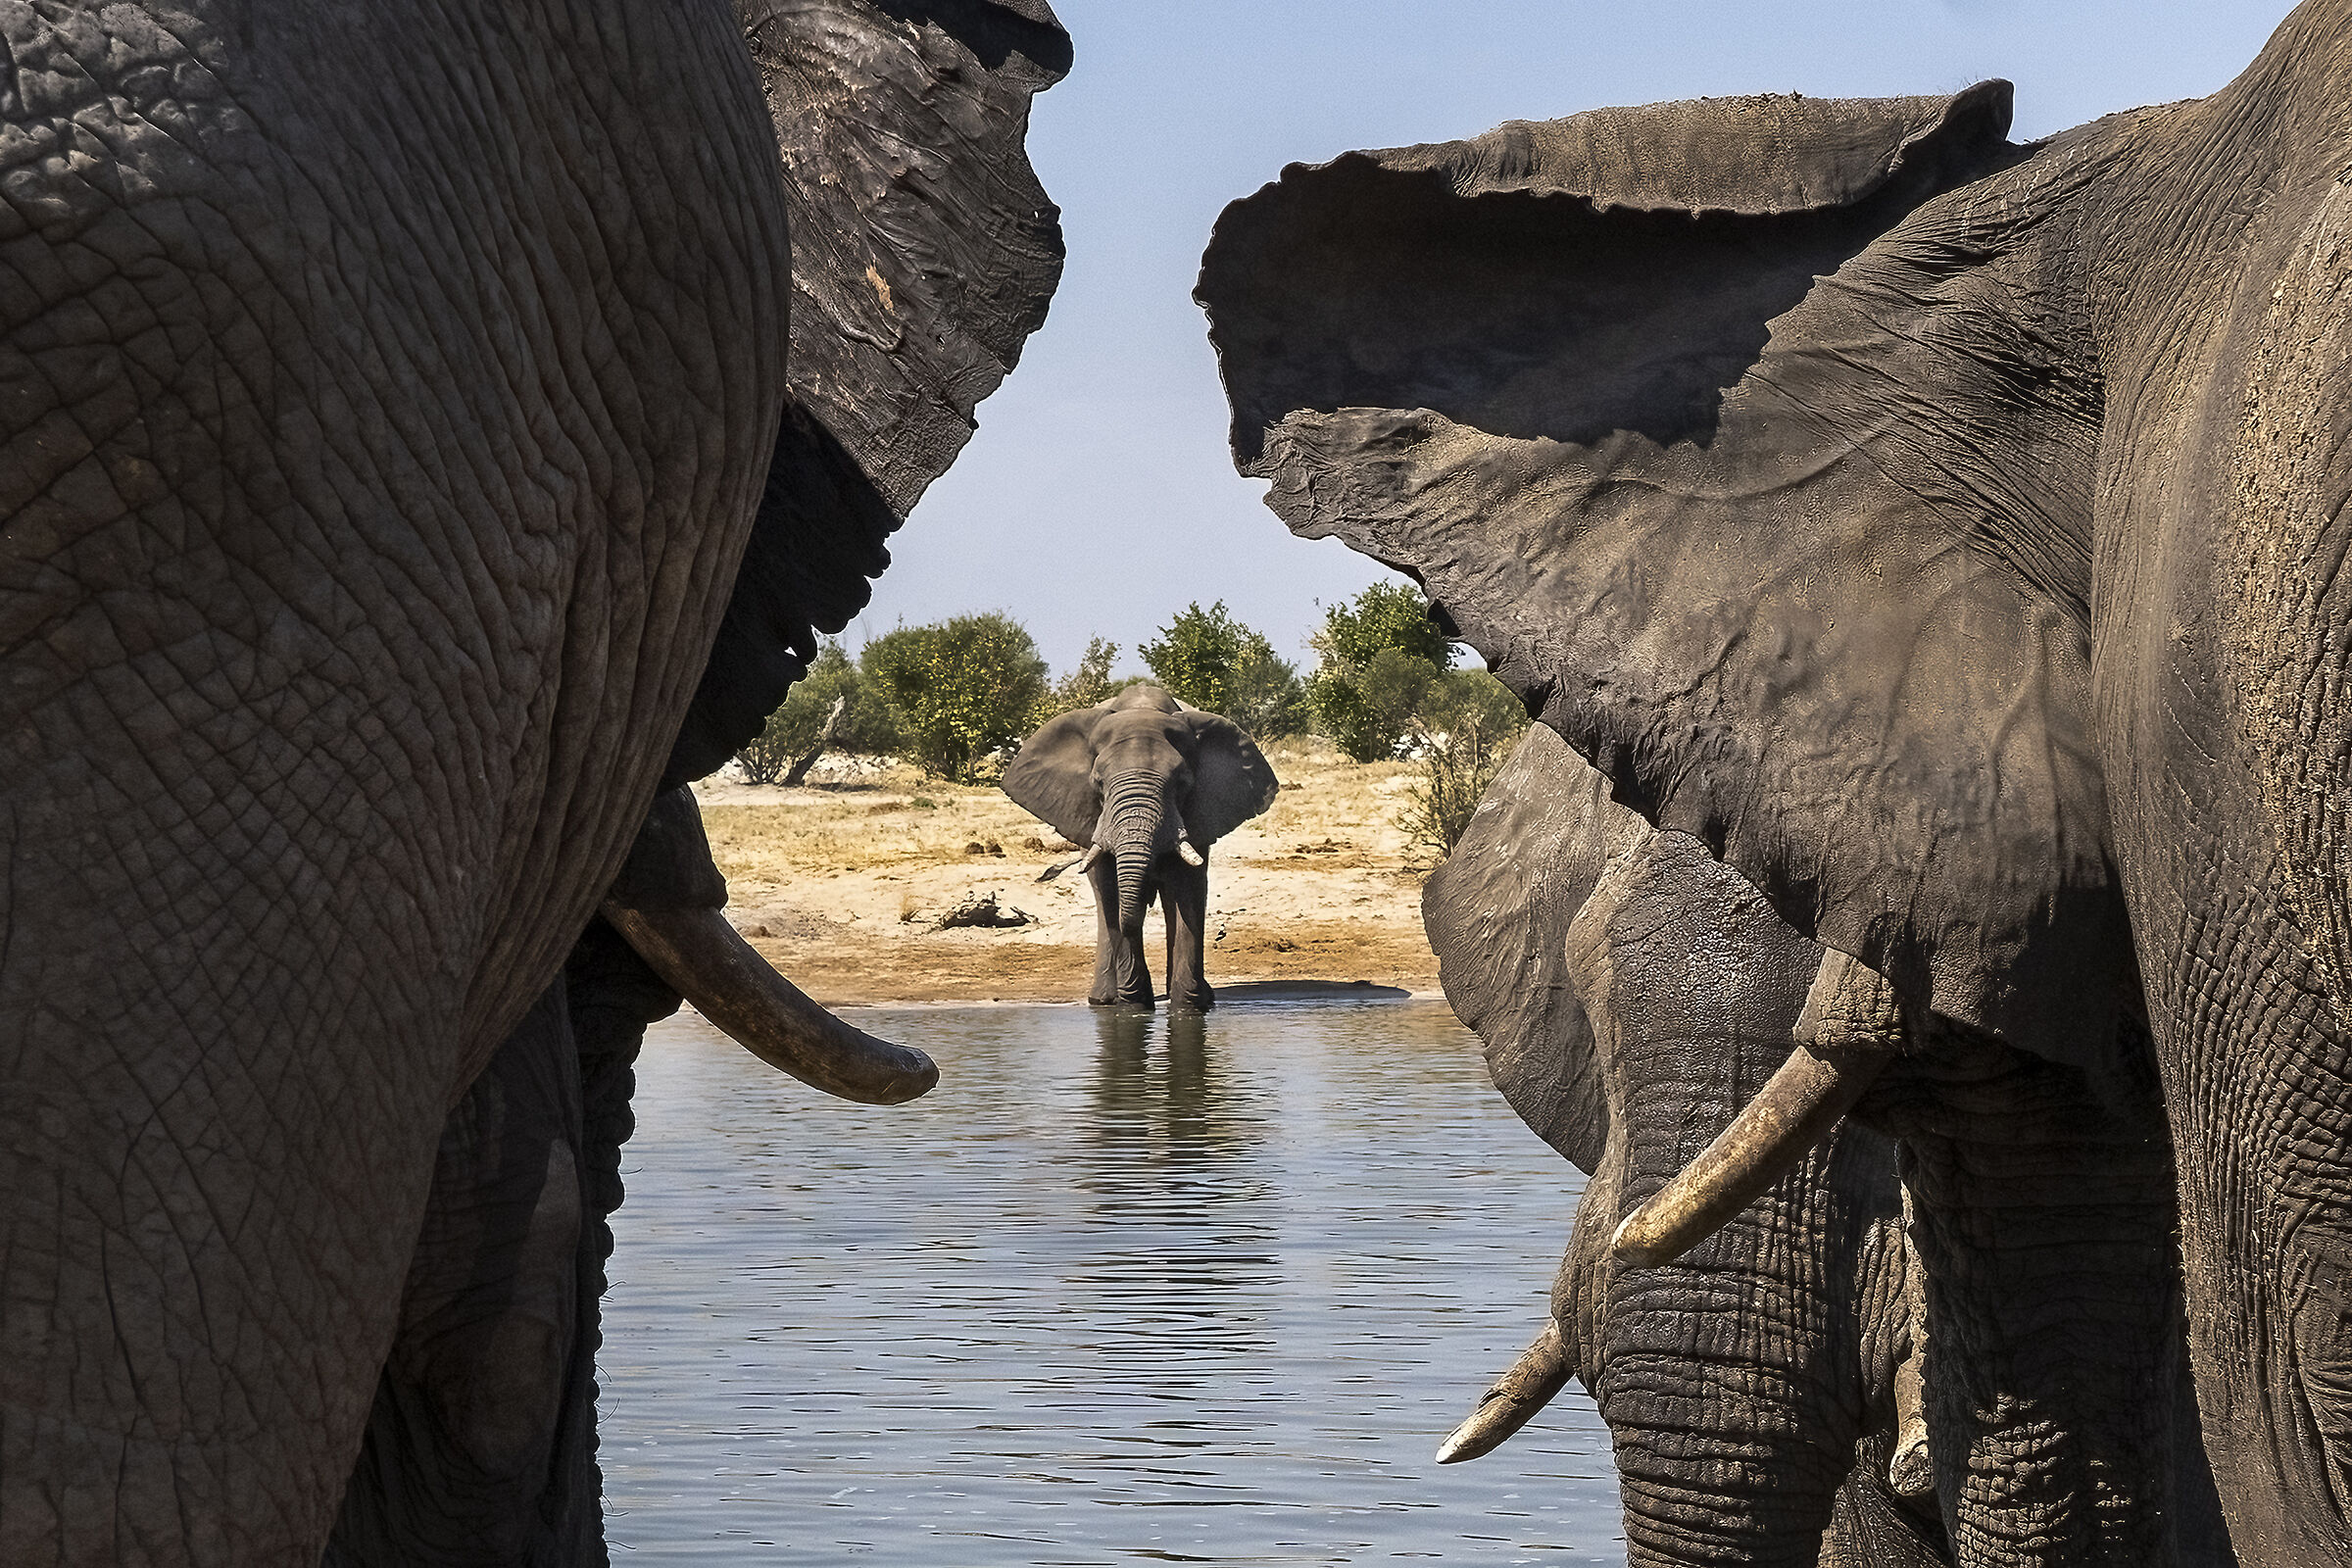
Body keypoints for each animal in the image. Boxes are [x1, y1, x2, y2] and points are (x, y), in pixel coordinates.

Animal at [1002, 684, 1278, 1009]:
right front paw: (1132, 1004)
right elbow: (1109, 888)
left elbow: (1189, 889)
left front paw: (1188, 1005)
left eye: (1182, 783)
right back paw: (1103, 999)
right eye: (1098, 784)